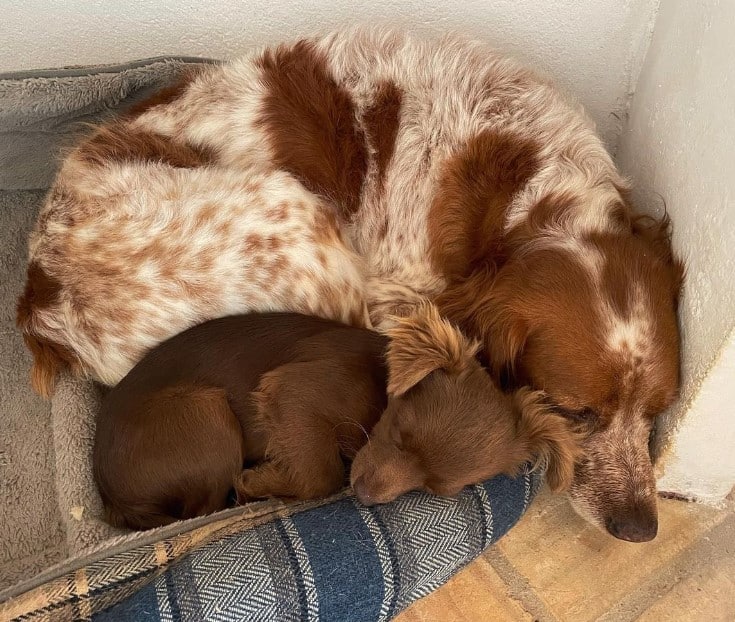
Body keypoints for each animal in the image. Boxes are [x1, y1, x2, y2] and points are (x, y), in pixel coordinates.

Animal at [93, 308, 580, 532]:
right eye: (398, 433)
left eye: (434, 488)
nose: (362, 494)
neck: (376, 397)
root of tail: (110, 496)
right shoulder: (289, 392)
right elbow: (322, 474)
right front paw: (260, 480)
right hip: (208, 412)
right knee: (205, 501)